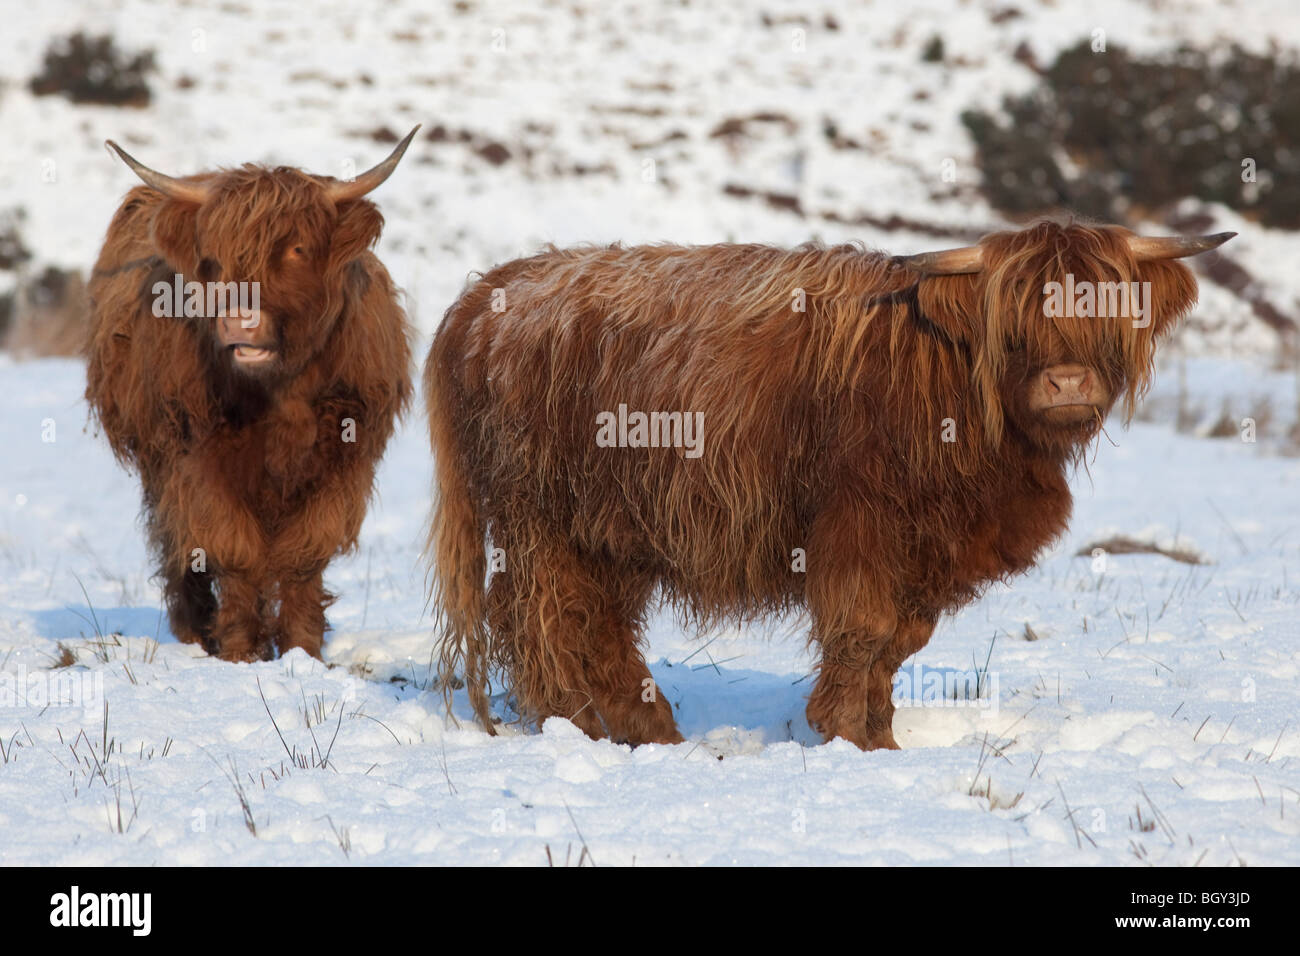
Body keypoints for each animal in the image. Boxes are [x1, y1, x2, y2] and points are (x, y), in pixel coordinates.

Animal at [86, 130, 416, 660]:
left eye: (297, 248)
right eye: (213, 260)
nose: (239, 319)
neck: (280, 396)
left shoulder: (344, 461)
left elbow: (306, 554)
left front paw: (304, 649)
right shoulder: (197, 458)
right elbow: (231, 549)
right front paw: (239, 649)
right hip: (156, 460)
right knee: (176, 545)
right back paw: (196, 631)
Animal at [431, 222, 1232, 749]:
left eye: (1106, 310)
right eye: (1016, 321)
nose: (1067, 382)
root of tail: (493, 290)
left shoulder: (927, 549)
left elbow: (900, 641)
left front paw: (879, 735)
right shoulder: (860, 525)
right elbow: (864, 628)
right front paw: (846, 735)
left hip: (611, 526)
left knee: (595, 622)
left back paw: (646, 727)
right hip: (542, 516)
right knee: (542, 614)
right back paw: (576, 724)